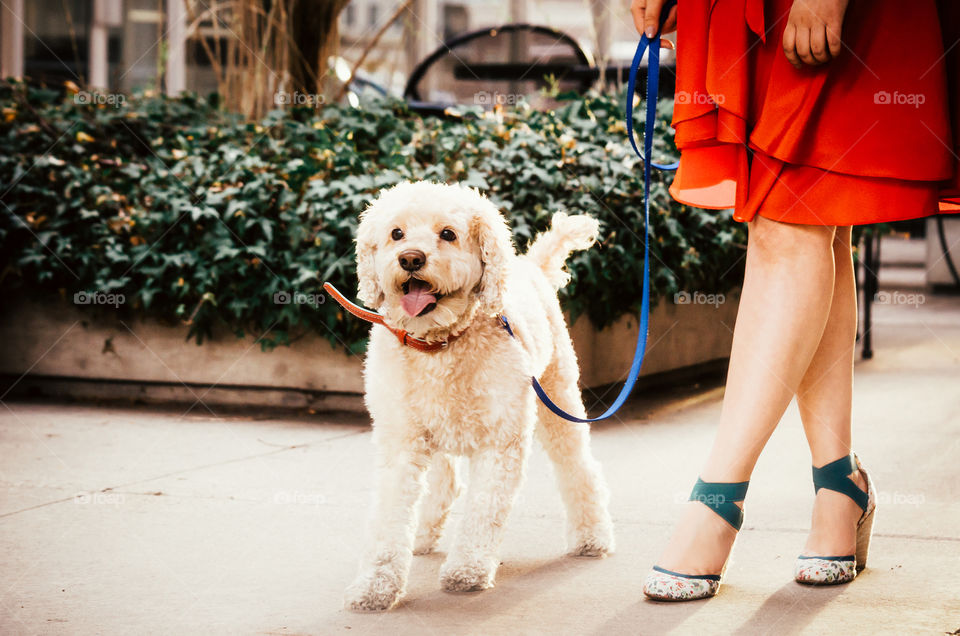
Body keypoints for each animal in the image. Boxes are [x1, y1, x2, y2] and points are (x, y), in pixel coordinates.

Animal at [344, 180, 616, 612]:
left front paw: (467, 570)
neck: (439, 346)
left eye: (448, 234)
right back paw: (422, 535)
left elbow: (483, 510)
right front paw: (375, 586)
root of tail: (529, 266)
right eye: (396, 233)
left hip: (559, 397)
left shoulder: (500, 441)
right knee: (445, 482)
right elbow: (388, 520)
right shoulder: (402, 441)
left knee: (579, 468)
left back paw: (592, 536)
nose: (410, 259)